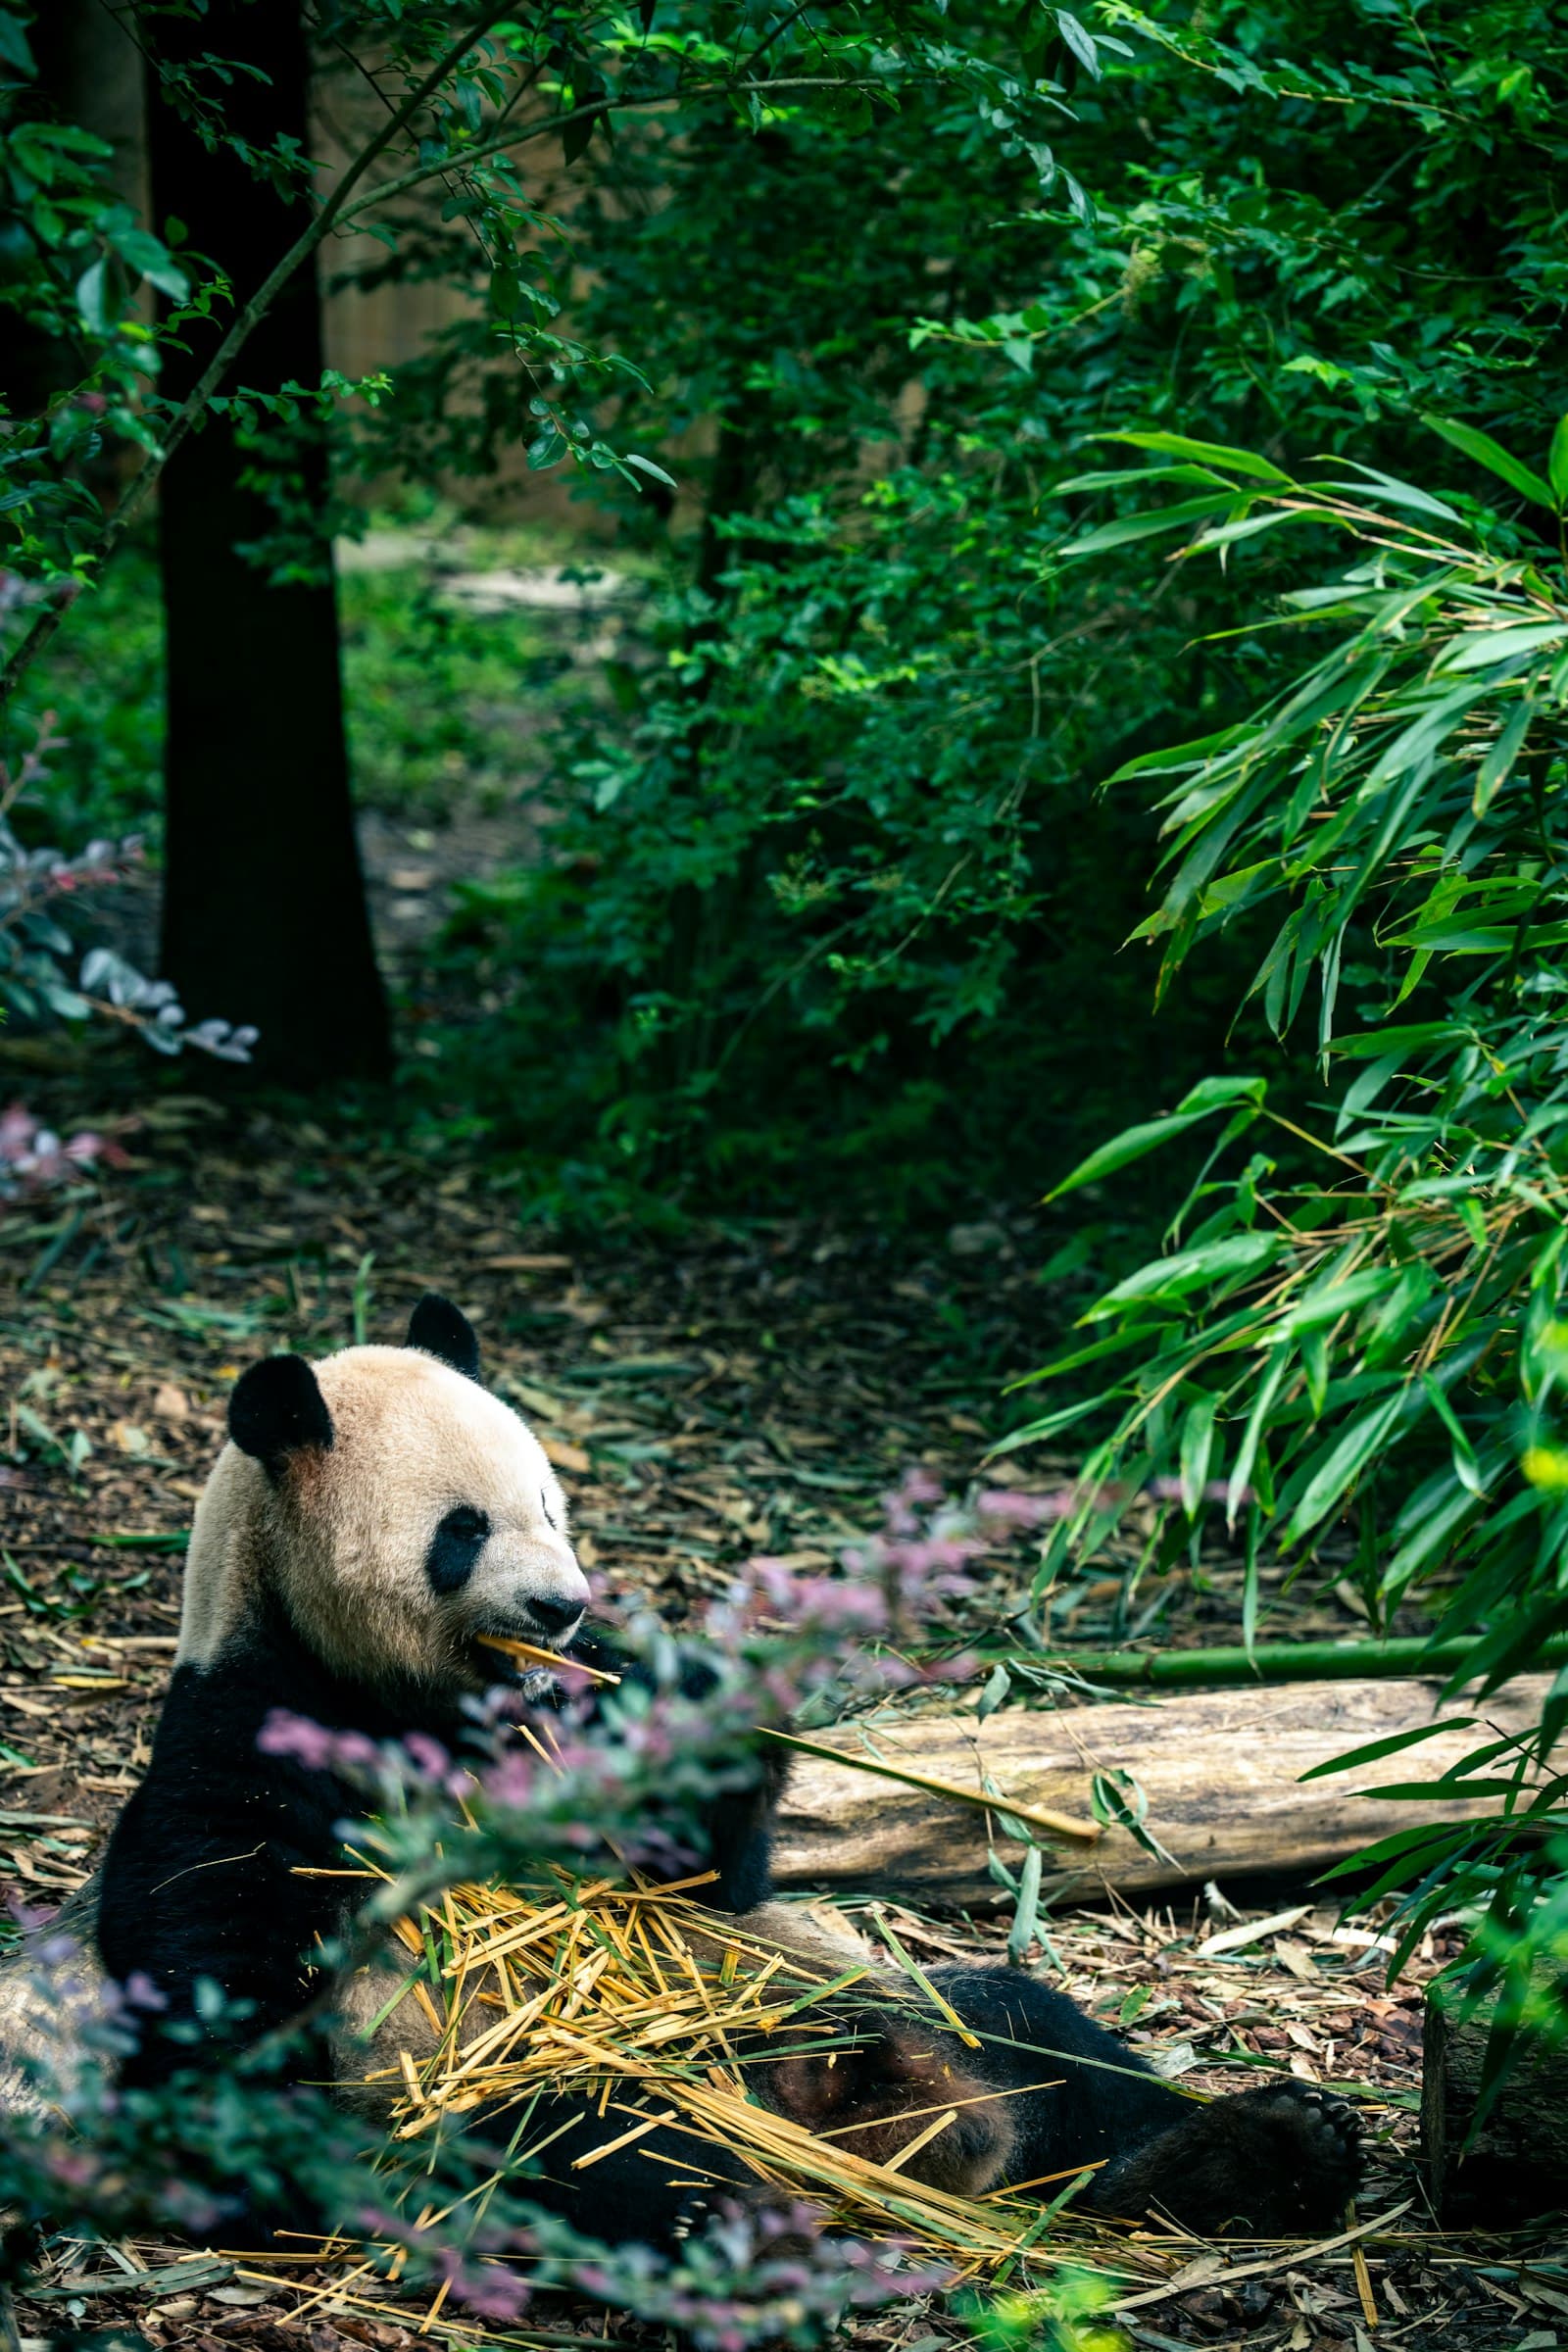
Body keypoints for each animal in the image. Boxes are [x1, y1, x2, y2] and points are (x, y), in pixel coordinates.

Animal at [91, 1295, 1362, 2253]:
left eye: (551, 1507)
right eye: (463, 1531)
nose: (564, 1608)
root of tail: (877, 2122)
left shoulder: (557, 1726)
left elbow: (698, 1876)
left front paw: (706, 1705)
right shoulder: (252, 1729)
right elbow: (217, 1956)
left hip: (863, 1996)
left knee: (1042, 2043)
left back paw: (1255, 2153)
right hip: (554, 2081)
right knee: (591, 2155)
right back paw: (743, 2216)